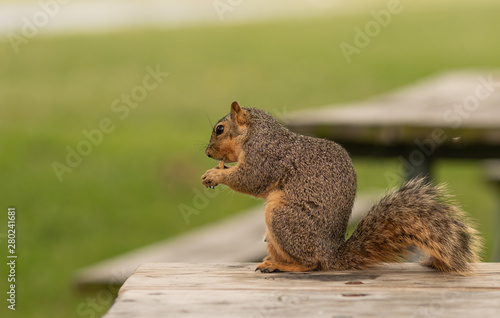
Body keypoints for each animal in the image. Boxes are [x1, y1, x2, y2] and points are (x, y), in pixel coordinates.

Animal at [201, 101, 482, 274]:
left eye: (220, 129)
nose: (207, 153)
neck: (257, 134)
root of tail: (331, 253)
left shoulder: (265, 157)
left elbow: (250, 179)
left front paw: (216, 174)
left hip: (282, 217)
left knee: (311, 263)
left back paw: (284, 266)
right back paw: (274, 260)